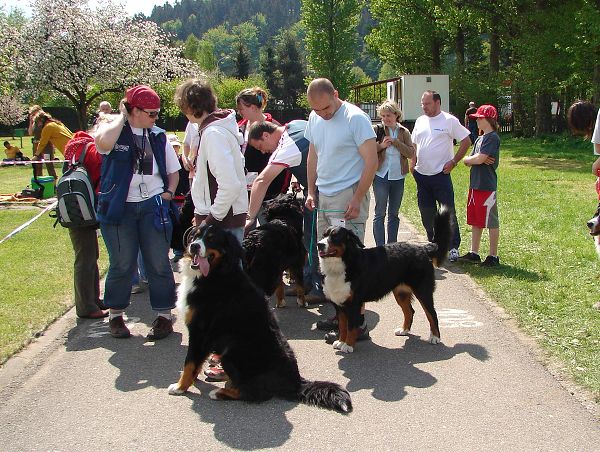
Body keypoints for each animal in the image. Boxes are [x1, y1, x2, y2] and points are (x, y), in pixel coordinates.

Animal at [169, 222, 352, 414]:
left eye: (211, 239)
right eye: (194, 236)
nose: (194, 246)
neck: (214, 274)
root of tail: (295, 381)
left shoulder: (200, 330)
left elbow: (189, 363)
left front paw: (180, 387)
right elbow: (195, 363)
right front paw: (190, 381)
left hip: (232, 350)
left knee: (255, 393)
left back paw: (219, 392)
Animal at [318, 207, 450, 354]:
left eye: (335, 237)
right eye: (323, 235)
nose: (319, 245)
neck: (344, 263)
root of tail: (423, 248)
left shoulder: (354, 303)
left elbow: (351, 327)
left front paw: (348, 345)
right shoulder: (340, 304)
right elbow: (342, 325)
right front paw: (341, 341)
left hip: (423, 290)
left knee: (432, 314)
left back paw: (435, 337)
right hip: (401, 292)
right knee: (409, 311)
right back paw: (403, 330)